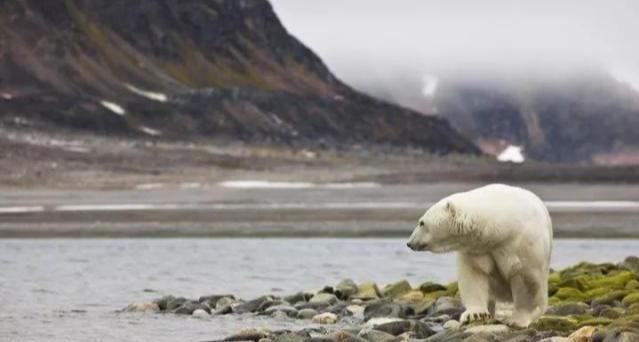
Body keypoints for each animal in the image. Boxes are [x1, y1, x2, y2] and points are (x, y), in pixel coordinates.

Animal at [408, 183, 552, 328]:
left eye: (421, 222)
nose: (409, 243)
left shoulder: (523, 242)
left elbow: (525, 280)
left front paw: (517, 320)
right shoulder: (477, 249)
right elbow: (473, 275)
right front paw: (475, 315)